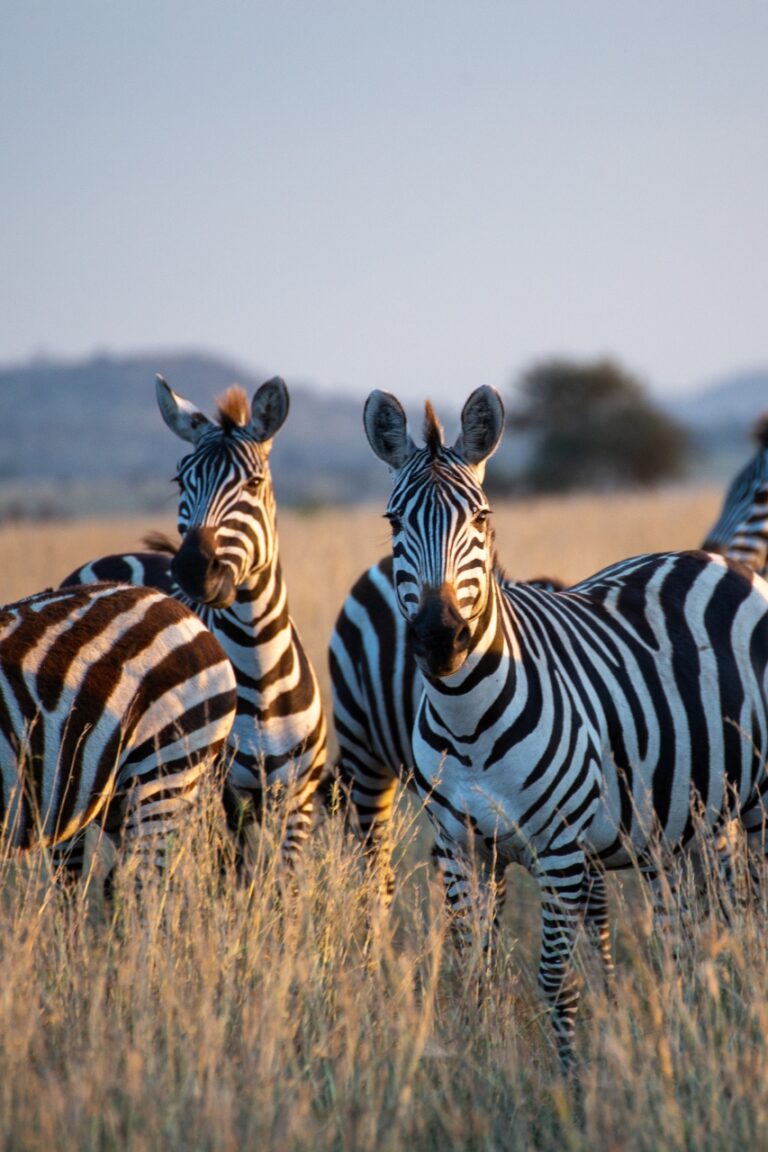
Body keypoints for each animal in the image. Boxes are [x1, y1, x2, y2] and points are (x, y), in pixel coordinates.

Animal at [62, 375, 328, 867]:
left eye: (254, 482)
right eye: (181, 479)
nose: (192, 568)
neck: (260, 667)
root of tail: (113, 559)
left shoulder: (296, 803)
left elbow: (281, 886)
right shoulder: (217, 803)